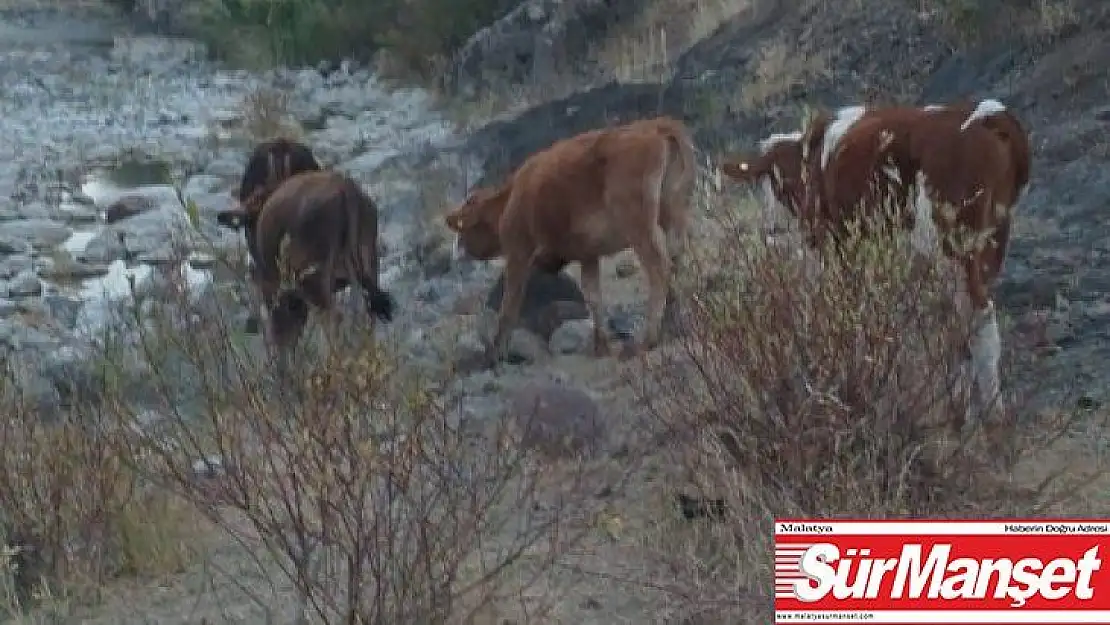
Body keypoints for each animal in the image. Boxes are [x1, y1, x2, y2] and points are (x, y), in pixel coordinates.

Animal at [441, 116, 692, 366]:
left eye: (466, 226)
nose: (457, 252)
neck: (510, 199)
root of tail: (656, 126)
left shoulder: (519, 253)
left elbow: (509, 305)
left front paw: (494, 355)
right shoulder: (588, 255)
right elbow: (593, 297)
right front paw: (601, 346)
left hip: (639, 227)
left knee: (659, 269)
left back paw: (647, 340)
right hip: (671, 216)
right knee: (676, 262)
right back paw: (673, 325)